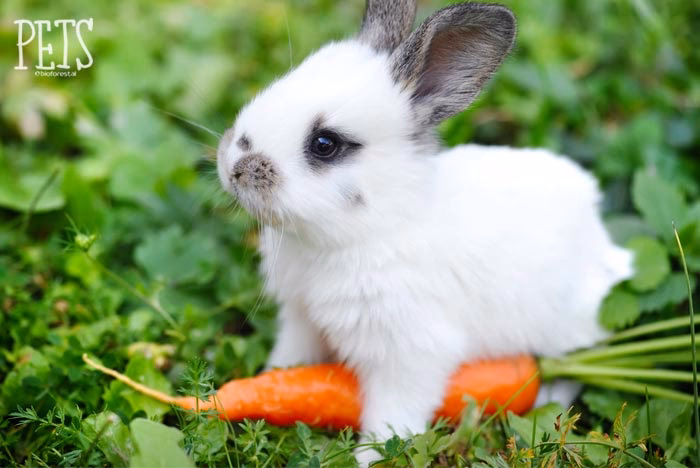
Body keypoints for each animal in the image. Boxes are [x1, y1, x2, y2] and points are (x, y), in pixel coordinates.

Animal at [217, 0, 634, 463]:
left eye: (325, 144)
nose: (234, 167)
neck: (367, 231)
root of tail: (604, 248)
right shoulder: (302, 320)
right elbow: (290, 363)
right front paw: (265, 380)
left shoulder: (409, 355)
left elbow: (390, 419)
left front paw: (369, 460)